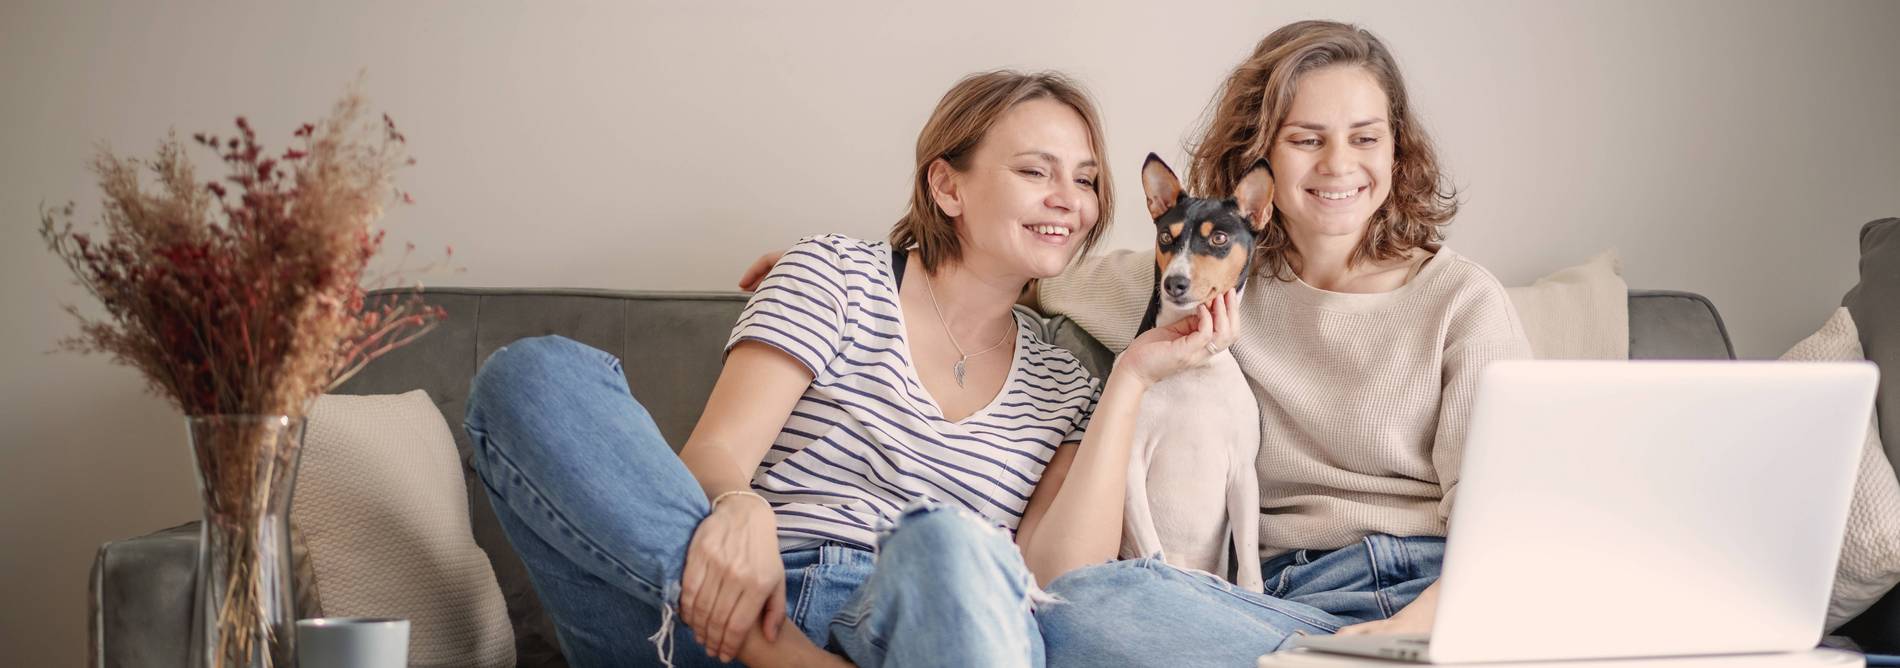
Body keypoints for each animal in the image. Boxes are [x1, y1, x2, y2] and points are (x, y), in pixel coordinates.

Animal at [1117, 153, 1269, 592]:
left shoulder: (1243, 474)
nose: (1175, 283)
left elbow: (1249, 565)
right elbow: (1154, 551)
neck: (1195, 369)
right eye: (1166, 238)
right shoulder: (1130, 466)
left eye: (1218, 239)